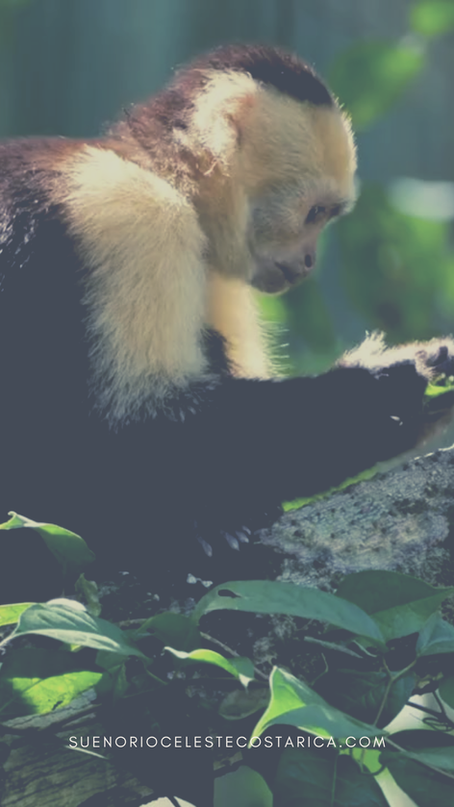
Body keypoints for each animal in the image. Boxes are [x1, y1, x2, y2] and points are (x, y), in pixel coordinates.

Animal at [0, 44, 453, 603]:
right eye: (315, 213)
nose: (310, 262)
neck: (154, 170)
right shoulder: (134, 216)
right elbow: (141, 432)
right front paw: (386, 386)